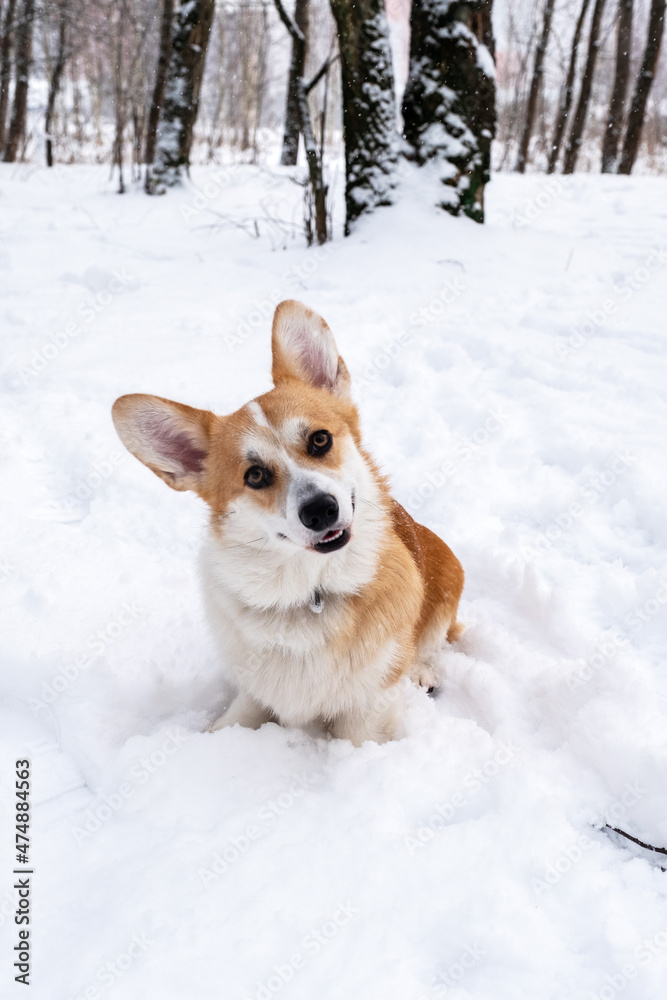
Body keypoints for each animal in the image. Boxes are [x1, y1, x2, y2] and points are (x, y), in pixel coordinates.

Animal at [112, 300, 464, 748]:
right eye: (255, 475)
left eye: (319, 440)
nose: (320, 510)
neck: (310, 594)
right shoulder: (253, 692)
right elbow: (231, 722)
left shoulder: (365, 714)